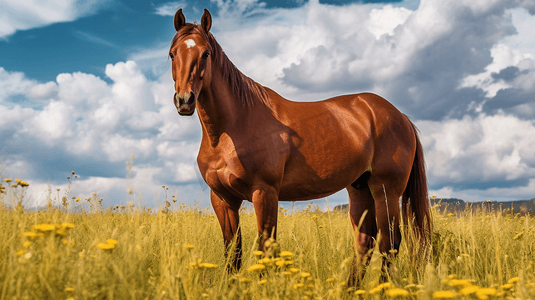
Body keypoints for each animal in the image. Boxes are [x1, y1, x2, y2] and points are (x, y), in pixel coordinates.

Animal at [170, 8, 434, 286]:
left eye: (206, 53)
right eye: (172, 54)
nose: (184, 100)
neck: (231, 129)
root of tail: (400, 116)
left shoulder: (265, 193)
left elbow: (265, 247)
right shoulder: (222, 198)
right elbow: (233, 252)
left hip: (385, 190)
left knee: (389, 244)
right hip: (359, 188)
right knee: (365, 241)